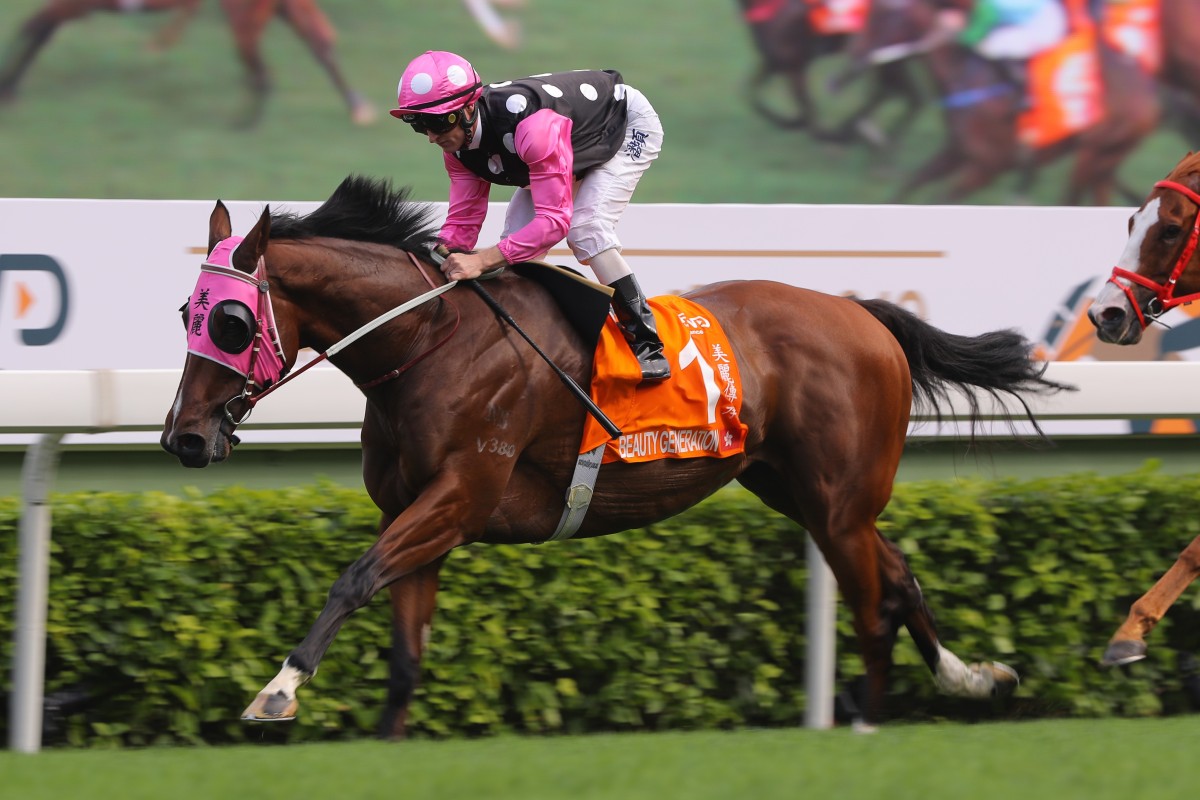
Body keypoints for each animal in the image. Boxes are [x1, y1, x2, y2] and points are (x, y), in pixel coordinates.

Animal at [0, 0, 372, 125]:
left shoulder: (72, 6)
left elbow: (31, 31)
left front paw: (9, 88)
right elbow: (36, 34)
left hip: (244, 22)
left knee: (263, 72)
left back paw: (243, 124)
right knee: (316, 45)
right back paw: (357, 107)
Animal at [162, 176, 1070, 738]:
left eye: (232, 322)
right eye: (185, 311)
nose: (184, 438)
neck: (428, 341)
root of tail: (865, 314)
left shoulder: (458, 498)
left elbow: (352, 579)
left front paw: (275, 693)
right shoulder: (418, 516)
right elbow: (405, 654)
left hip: (838, 502)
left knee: (874, 602)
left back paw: (869, 722)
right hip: (804, 493)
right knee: (899, 573)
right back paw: (973, 678)